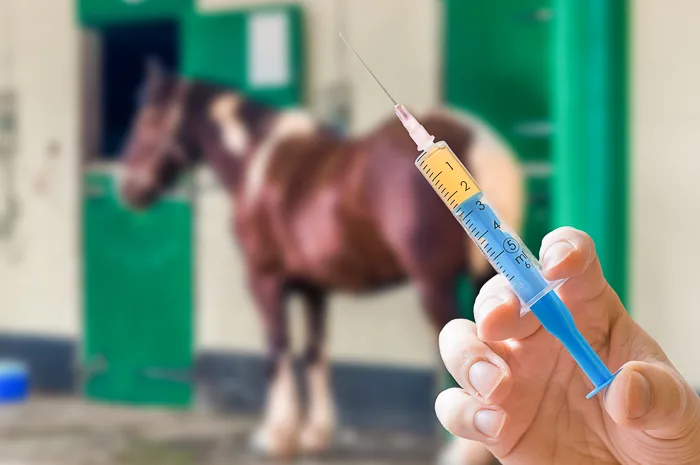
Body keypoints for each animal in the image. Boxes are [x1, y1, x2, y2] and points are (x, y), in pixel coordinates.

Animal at [117, 60, 524, 460]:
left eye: (147, 119)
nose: (127, 190)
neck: (256, 163)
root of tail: (478, 141)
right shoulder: (313, 285)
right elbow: (316, 350)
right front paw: (316, 434)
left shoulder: (264, 279)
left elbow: (277, 348)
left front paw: (277, 436)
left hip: (434, 285)